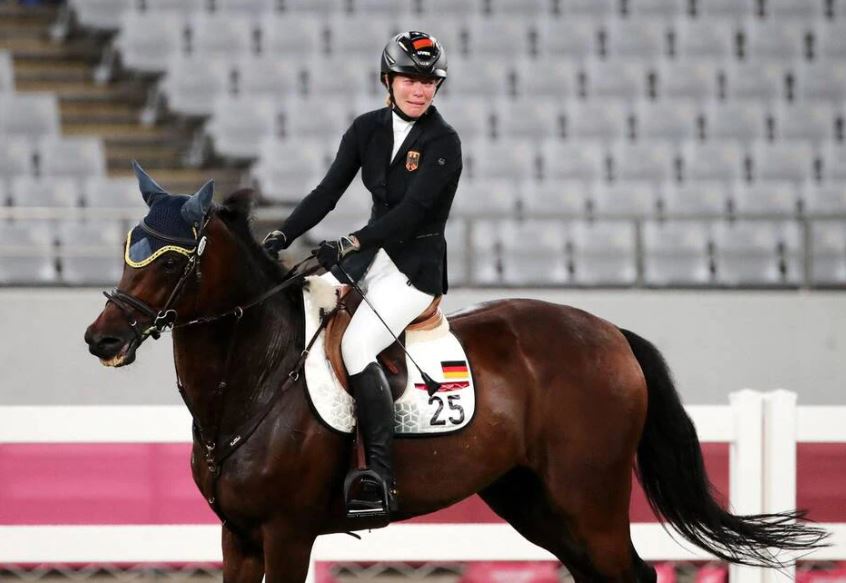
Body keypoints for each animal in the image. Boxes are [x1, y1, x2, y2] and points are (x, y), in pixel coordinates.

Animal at [83, 167, 824, 580]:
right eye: (128, 249)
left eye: (173, 261)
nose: (102, 338)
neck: (256, 378)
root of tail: (611, 334)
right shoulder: (237, 536)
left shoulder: (288, 533)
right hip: (534, 501)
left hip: (590, 498)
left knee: (632, 574)